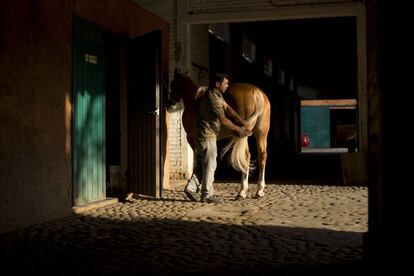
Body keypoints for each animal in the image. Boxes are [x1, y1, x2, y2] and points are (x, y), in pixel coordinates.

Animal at [168, 69, 272, 198]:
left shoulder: (192, 138)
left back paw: (242, 191)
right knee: (261, 156)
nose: (170, 104)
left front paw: (197, 187)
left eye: (172, 84)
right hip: (260, 134)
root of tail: (258, 94)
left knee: (247, 156)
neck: (194, 99)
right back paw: (259, 190)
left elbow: (198, 160)